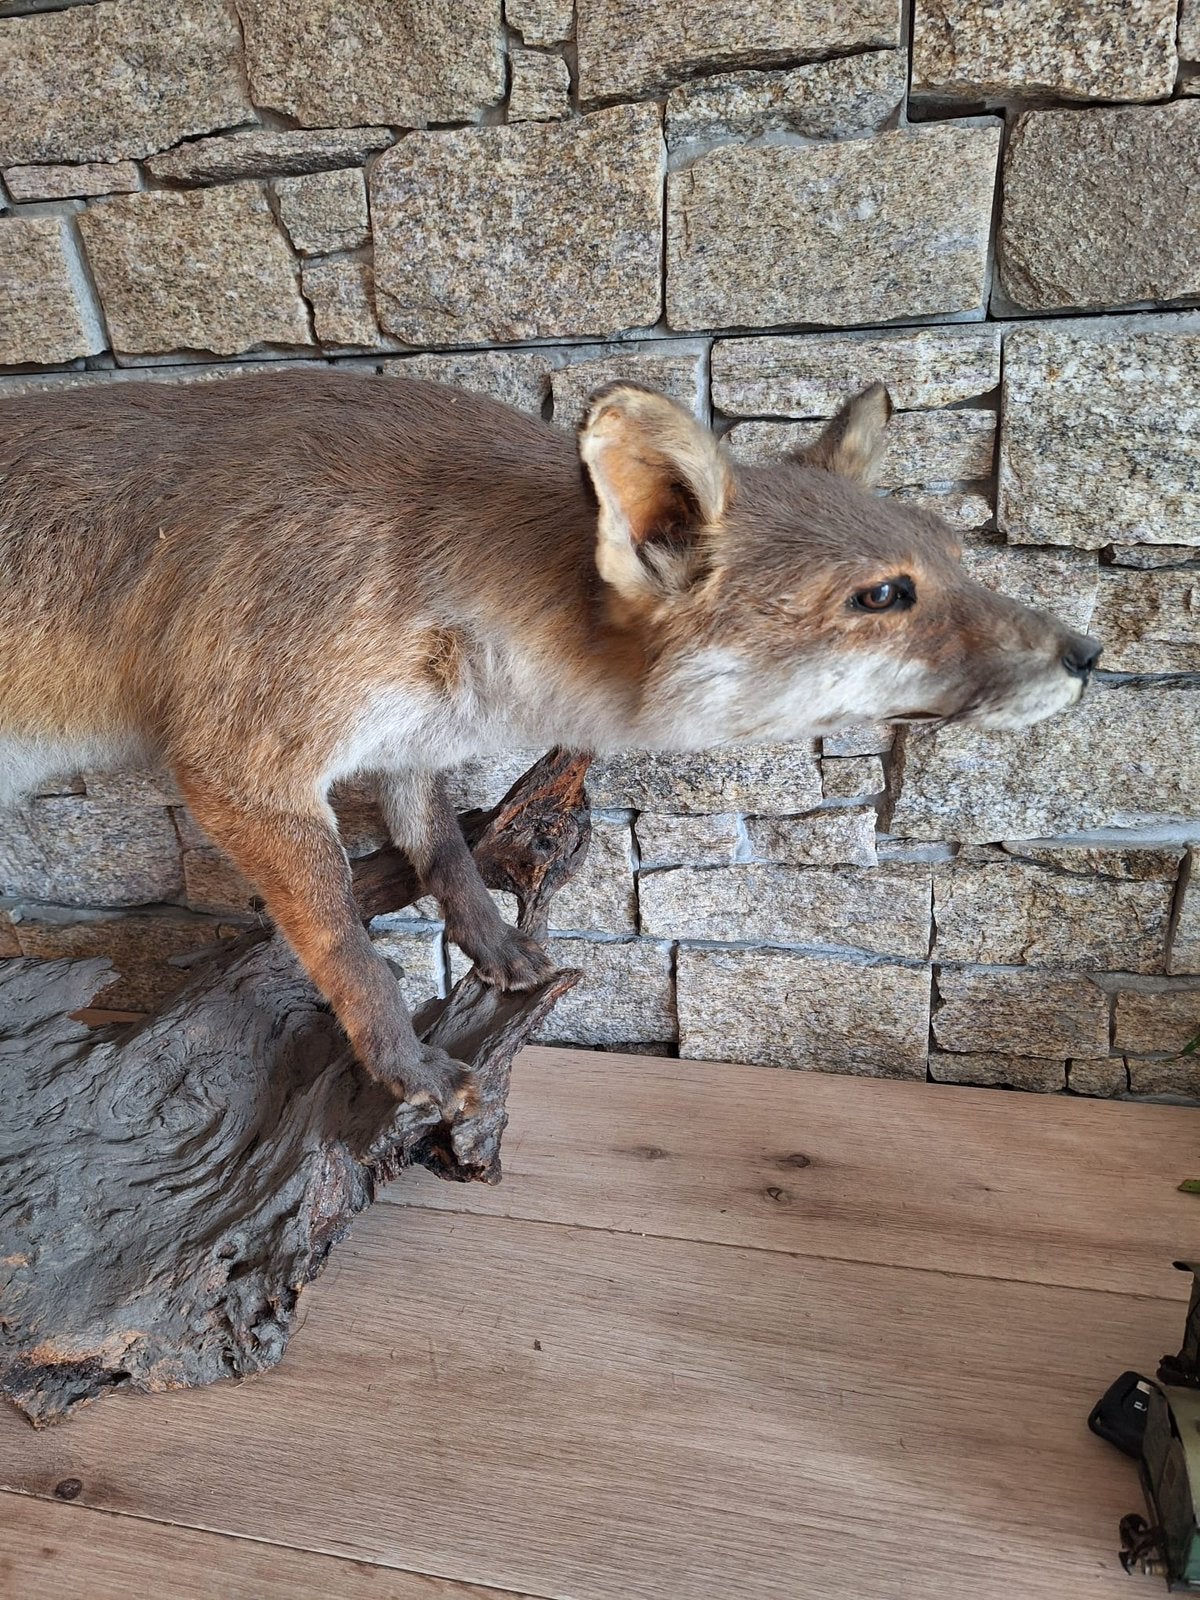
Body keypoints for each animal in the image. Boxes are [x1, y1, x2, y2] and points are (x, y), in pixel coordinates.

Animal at [0, 372, 1100, 1114]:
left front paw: (499, 952)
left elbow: (447, 859)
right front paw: (404, 1067)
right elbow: (348, 950)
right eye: (884, 595)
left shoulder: (408, 748)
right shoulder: (241, 771)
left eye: (956, 560)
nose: (1087, 652)